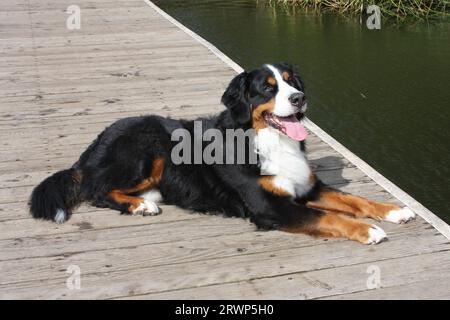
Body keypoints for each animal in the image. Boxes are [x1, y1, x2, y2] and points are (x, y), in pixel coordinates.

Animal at [29, 62, 414, 244]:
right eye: (267, 89)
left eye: (292, 81)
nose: (299, 98)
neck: (266, 141)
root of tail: (95, 144)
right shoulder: (270, 206)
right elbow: (329, 217)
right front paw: (369, 231)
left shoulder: (305, 187)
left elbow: (353, 200)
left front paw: (393, 210)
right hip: (148, 147)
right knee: (97, 190)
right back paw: (141, 205)